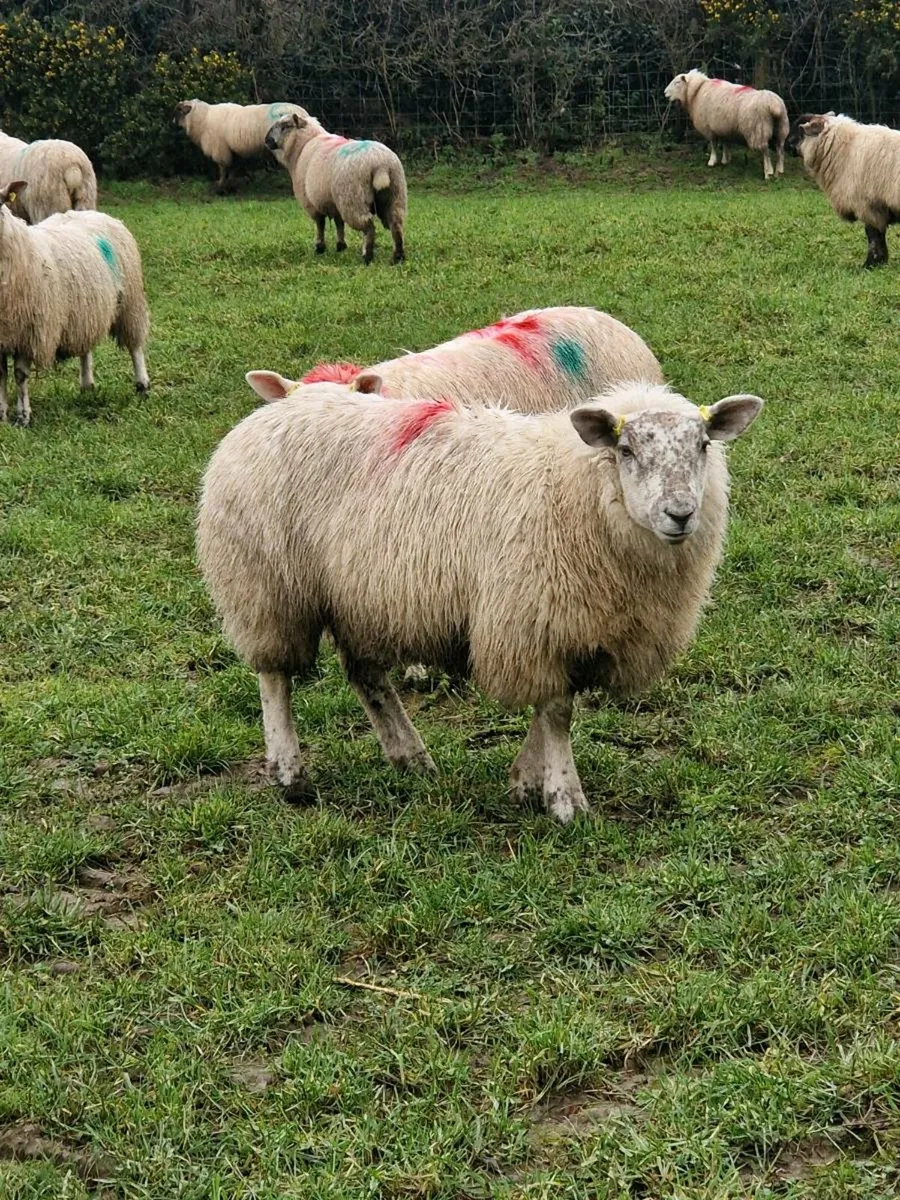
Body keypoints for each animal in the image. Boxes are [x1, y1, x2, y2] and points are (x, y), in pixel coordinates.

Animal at [0, 181, 150, 426]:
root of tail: (92, 213)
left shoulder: (29, 330)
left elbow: (20, 376)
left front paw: (23, 417)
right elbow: (1, 375)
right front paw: (1, 414)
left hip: (130, 300)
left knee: (135, 345)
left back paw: (142, 385)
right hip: (86, 307)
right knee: (85, 346)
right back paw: (87, 385)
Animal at [174, 100, 309, 192]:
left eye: (179, 110)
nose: (172, 122)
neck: (203, 118)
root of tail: (303, 114)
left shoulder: (220, 149)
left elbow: (223, 168)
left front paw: (221, 186)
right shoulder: (233, 150)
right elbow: (233, 168)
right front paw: (231, 185)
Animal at [197, 378, 762, 822]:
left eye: (703, 445)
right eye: (627, 451)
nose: (680, 514)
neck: (573, 488)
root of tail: (277, 407)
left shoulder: (581, 628)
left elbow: (557, 709)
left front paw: (525, 781)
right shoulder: (534, 621)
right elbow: (557, 713)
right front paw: (565, 799)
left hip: (360, 596)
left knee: (367, 677)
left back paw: (410, 758)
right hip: (267, 585)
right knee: (275, 677)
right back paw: (291, 773)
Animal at [265, 113, 407, 264]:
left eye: (285, 126)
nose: (266, 140)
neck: (303, 145)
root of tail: (380, 164)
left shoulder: (311, 202)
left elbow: (320, 224)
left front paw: (320, 247)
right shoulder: (334, 203)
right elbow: (339, 223)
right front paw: (341, 246)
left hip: (353, 200)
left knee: (369, 227)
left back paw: (367, 256)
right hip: (394, 194)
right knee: (396, 224)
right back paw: (398, 257)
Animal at [791, 112, 900, 268]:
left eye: (798, 130)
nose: (783, 145)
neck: (844, 149)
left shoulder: (868, 206)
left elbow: (873, 236)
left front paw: (870, 264)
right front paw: (881, 261)